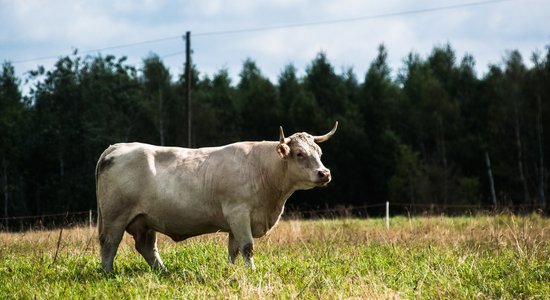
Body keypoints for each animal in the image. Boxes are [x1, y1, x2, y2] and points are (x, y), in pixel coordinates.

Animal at [97, 120, 338, 270]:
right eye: (299, 154)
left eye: (319, 153)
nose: (325, 173)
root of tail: (117, 147)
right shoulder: (239, 213)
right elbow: (247, 247)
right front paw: (252, 271)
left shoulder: (235, 222)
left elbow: (234, 250)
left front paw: (233, 270)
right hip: (114, 217)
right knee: (109, 243)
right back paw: (108, 273)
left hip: (146, 221)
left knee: (146, 247)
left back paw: (162, 271)